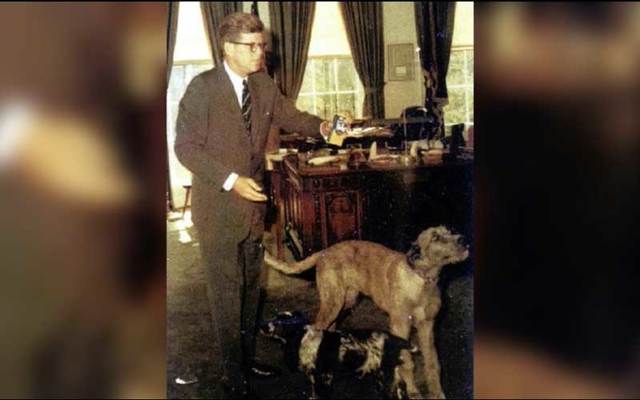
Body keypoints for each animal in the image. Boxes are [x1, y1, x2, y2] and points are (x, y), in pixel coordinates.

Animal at [258, 312, 416, 400]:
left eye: (278, 322)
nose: (261, 326)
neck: (302, 337)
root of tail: (392, 338)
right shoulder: (324, 375)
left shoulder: (319, 374)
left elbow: (319, 392)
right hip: (391, 373)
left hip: (383, 374)